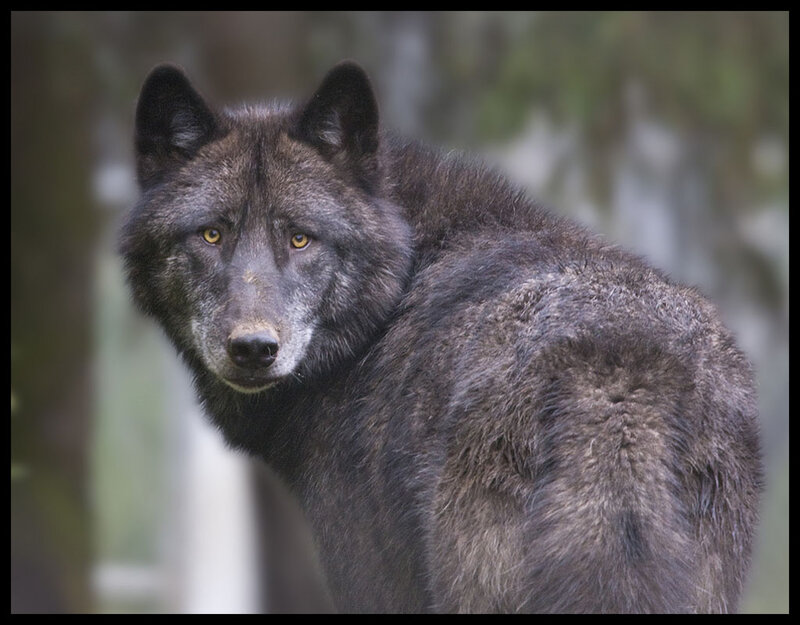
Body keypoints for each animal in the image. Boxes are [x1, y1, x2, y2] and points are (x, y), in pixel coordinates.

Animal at [121, 61, 762, 613]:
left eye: (301, 238)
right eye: (211, 235)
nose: (254, 349)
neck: (400, 279)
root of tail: (616, 378)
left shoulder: (368, 578)